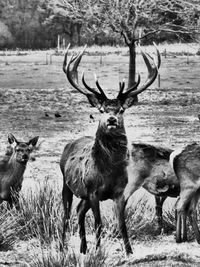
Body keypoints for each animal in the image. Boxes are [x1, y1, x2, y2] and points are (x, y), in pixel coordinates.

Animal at [60, 45, 160, 255]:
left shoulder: (120, 192)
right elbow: (99, 224)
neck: (109, 171)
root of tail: (68, 145)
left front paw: (129, 252)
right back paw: (63, 247)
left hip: (83, 194)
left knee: (79, 211)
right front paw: (99, 251)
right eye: (102, 110)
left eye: (121, 110)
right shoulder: (93, 191)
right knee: (66, 215)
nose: (112, 119)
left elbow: (122, 224)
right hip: (66, 183)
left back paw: (83, 249)